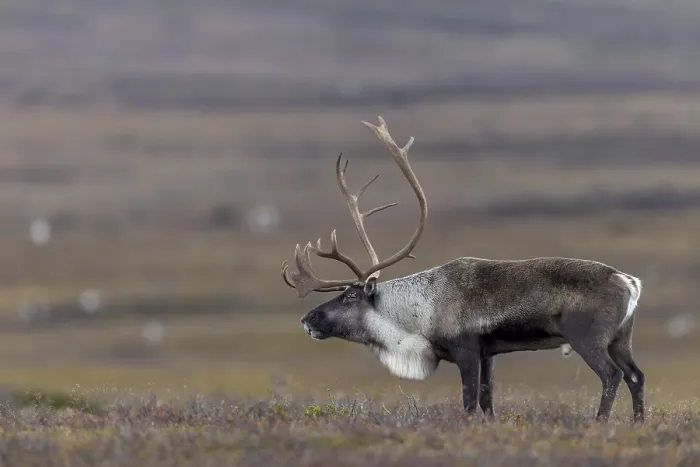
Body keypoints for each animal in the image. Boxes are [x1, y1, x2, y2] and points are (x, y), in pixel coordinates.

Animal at [280, 116, 645, 423]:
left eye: (350, 297)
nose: (308, 318)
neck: (418, 314)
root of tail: (629, 281)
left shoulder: (466, 349)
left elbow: (470, 404)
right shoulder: (489, 353)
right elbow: (487, 401)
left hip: (589, 339)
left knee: (612, 375)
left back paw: (600, 423)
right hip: (621, 338)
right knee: (635, 375)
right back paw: (638, 423)